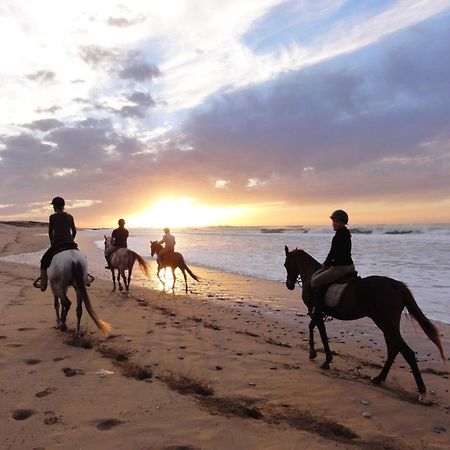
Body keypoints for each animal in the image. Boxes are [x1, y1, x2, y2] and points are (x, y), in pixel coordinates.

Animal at [284, 246, 444, 404]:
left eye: (286, 264)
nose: (289, 285)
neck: (311, 275)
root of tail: (394, 285)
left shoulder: (315, 312)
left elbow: (320, 333)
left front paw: (322, 358)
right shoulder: (317, 313)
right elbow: (313, 327)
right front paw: (315, 353)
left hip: (385, 323)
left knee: (406, 352)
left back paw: (422, 393)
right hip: (388, 325)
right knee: (393, 349)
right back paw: (379, 378)